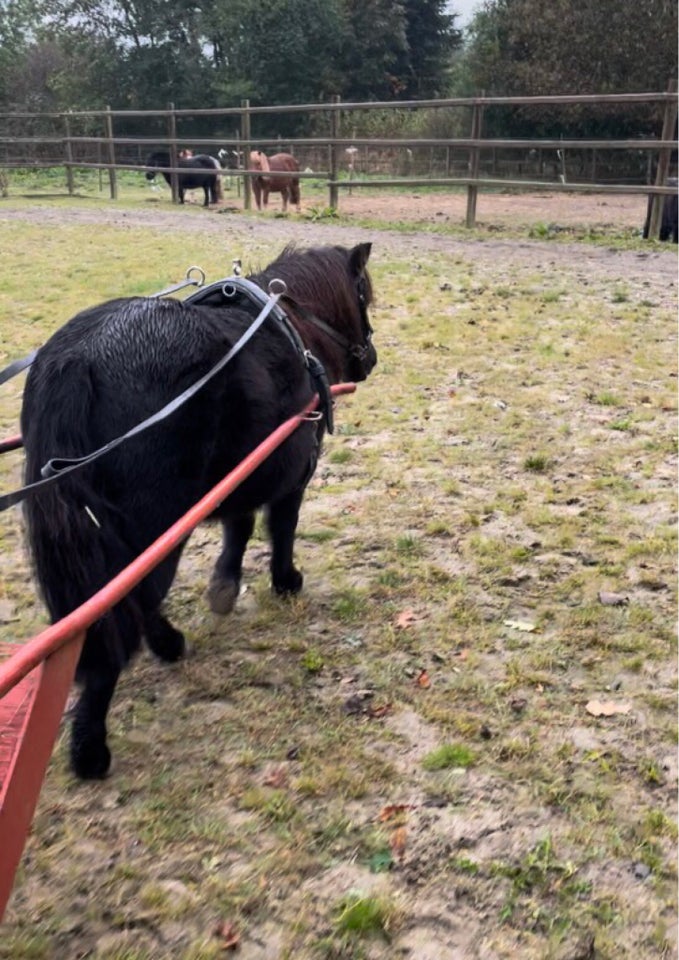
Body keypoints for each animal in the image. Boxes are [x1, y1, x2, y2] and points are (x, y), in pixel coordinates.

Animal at [19, 240, 378, 780]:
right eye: (364, 295)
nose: (371, 357)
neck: (297, 325)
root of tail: (76, 360)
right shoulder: (296, 467)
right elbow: (281, 525)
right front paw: (285, 581)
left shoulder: (242, 474)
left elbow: (239, 526)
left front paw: (224, 588)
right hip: (155, 527)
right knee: (124, 608)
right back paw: (93, 744)